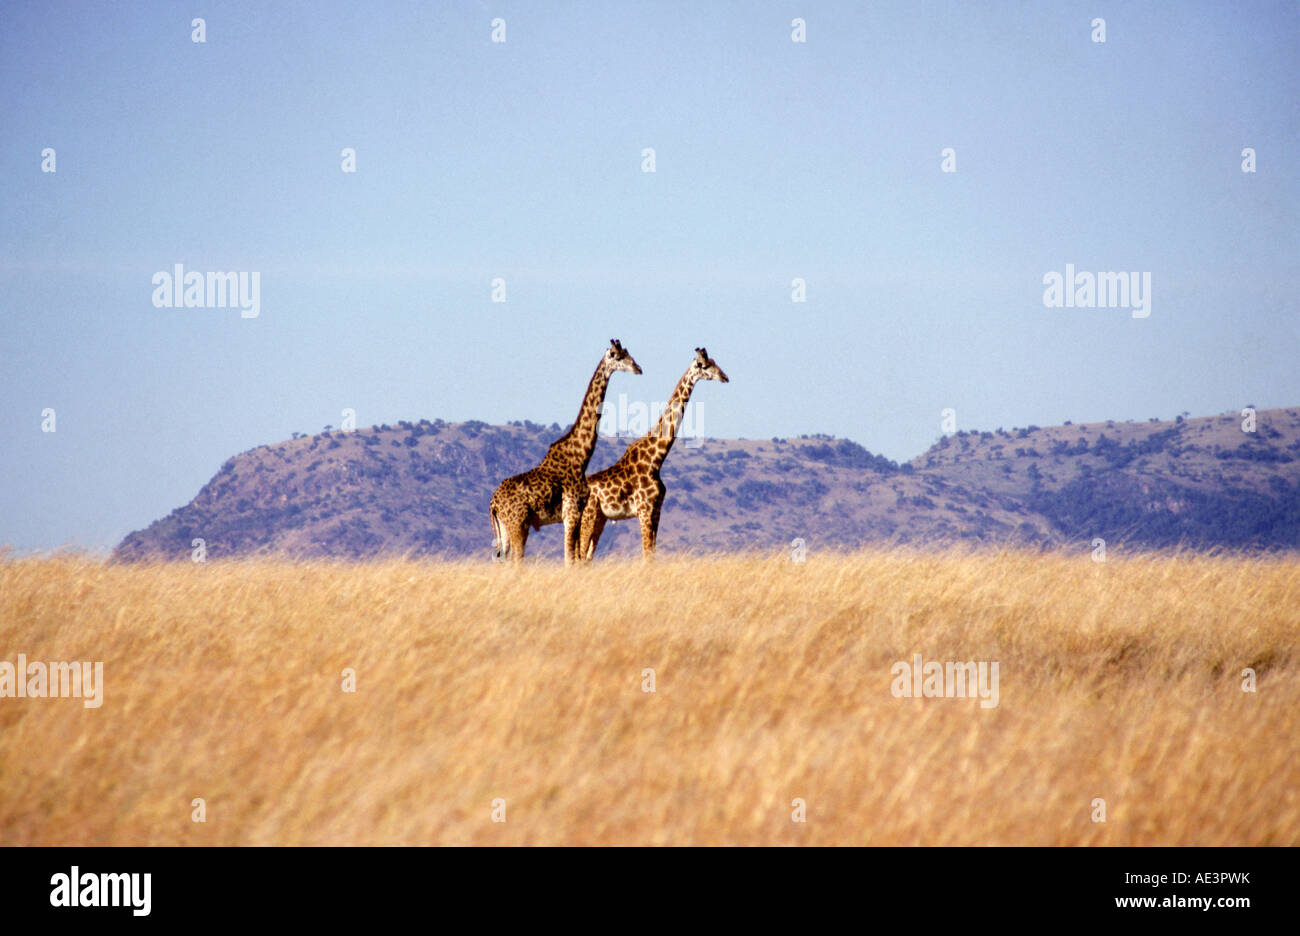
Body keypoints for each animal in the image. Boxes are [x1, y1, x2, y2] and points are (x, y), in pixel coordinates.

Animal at [488, 340, 642, 566]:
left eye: (629, 353)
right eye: (618, 356)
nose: (638, 368)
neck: (581, 456)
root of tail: (493, 503)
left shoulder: (576, 514)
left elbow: (575, 559)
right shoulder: (571, 513)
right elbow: (569, 560)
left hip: (505, 530)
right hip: (518, 525)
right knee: (517, 560)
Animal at [582, 348, 728, 559]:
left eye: (715, 362)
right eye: (705, 365)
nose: (724, 377)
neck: (656, 460)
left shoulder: (657, 511)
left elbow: (651, 554)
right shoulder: (645, 509)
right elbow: (646, 555)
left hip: (600, 518)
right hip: (589, 516)